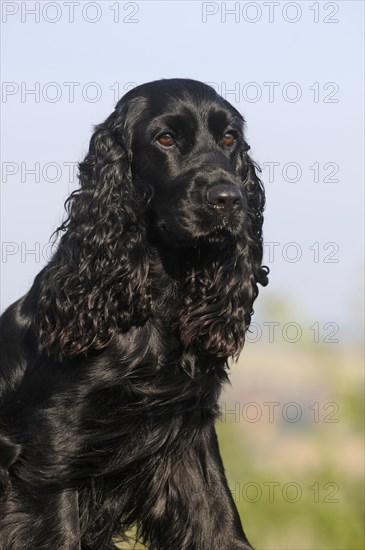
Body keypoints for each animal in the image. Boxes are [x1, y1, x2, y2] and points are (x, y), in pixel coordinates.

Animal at [0, 78, 268, 550]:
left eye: (229, 138)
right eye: (166, 138)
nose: (229, 199)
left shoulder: (189, 437)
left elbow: (221, 526)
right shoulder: (50, 450)